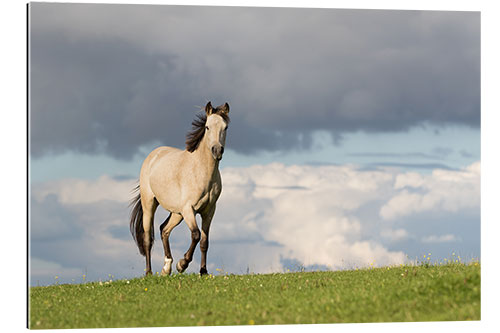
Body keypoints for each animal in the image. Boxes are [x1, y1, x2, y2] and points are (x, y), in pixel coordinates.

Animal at [129, 102, 230, 274]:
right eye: (207, 127)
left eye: (225, 127)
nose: (217, 150)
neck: (201, 171)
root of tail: (153, 155)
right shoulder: (189, 209)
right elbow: (196, 235)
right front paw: (182, 264)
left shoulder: (209, 211)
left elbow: (204, 242)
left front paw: (203, 271)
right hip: (150, 204)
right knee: (148, 237)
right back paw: (149, 272)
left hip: (177, 213)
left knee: (164, 229)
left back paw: (166, 268)